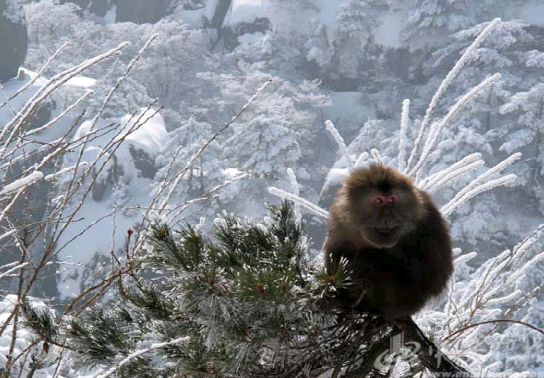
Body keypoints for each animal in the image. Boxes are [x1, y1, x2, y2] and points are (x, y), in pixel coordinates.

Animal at [326, 164, 452, 318]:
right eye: (379, 201)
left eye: (392, 200)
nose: (388, 218)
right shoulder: (341, 221)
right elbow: (335, 253)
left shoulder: (426, 221)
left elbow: (432, 274)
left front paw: (367, 261)